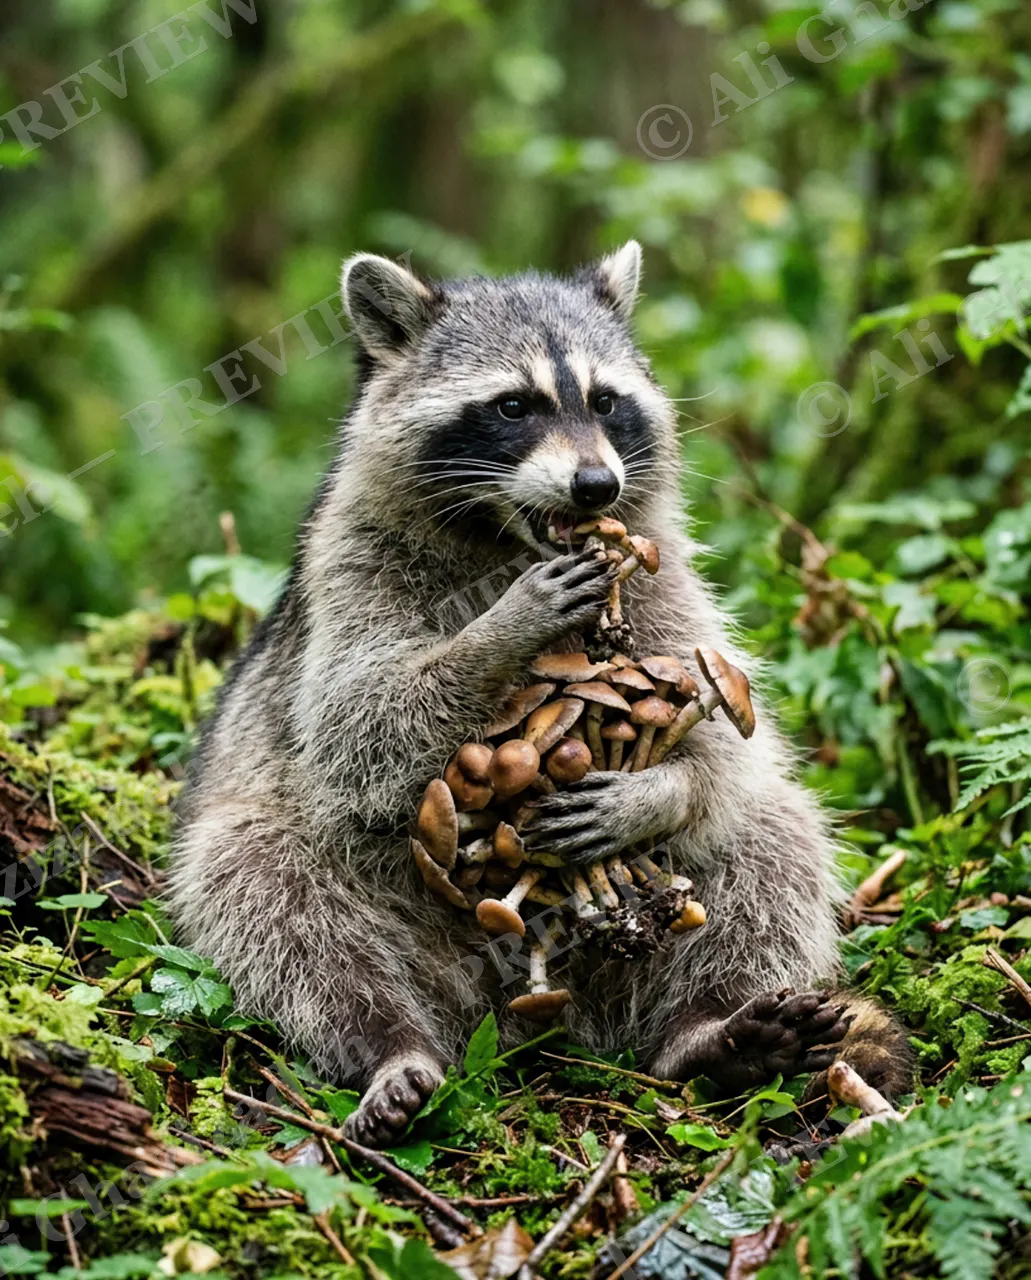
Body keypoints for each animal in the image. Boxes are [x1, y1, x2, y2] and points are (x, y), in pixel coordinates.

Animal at [170, 243, 909, 1146]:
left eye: (604, 401)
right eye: (513, 406)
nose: (594, 486)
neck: (507, 540)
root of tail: (527, 1013)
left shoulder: (658, 568)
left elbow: (727, 746)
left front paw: (655, 791)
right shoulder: (347, 568)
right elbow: (357, 725)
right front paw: (498, 632)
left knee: (772, 834)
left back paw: (709, 1029)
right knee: (267, 892)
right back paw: (387, 1043)